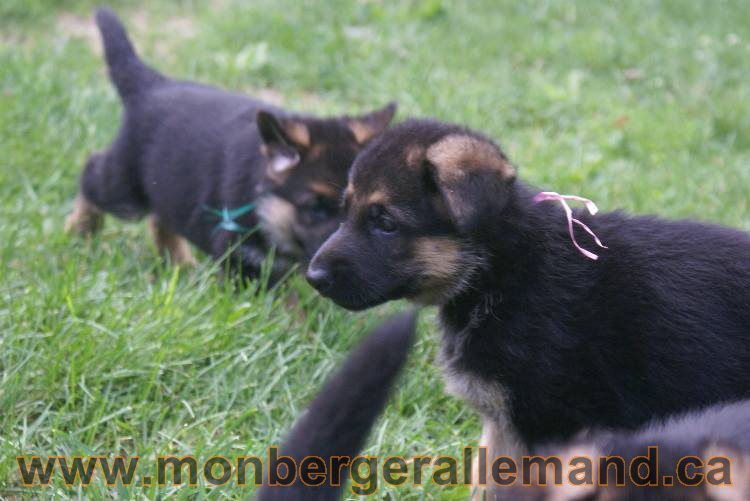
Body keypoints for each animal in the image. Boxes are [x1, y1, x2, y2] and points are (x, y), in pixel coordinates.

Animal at [67, 7, 396, 282]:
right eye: (315, 209)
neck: (263, 201)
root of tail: (152, 85)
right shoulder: (239, 257)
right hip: (126, 188)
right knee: (92, 173)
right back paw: (80, 231)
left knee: (162, 217)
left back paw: (178, 262)